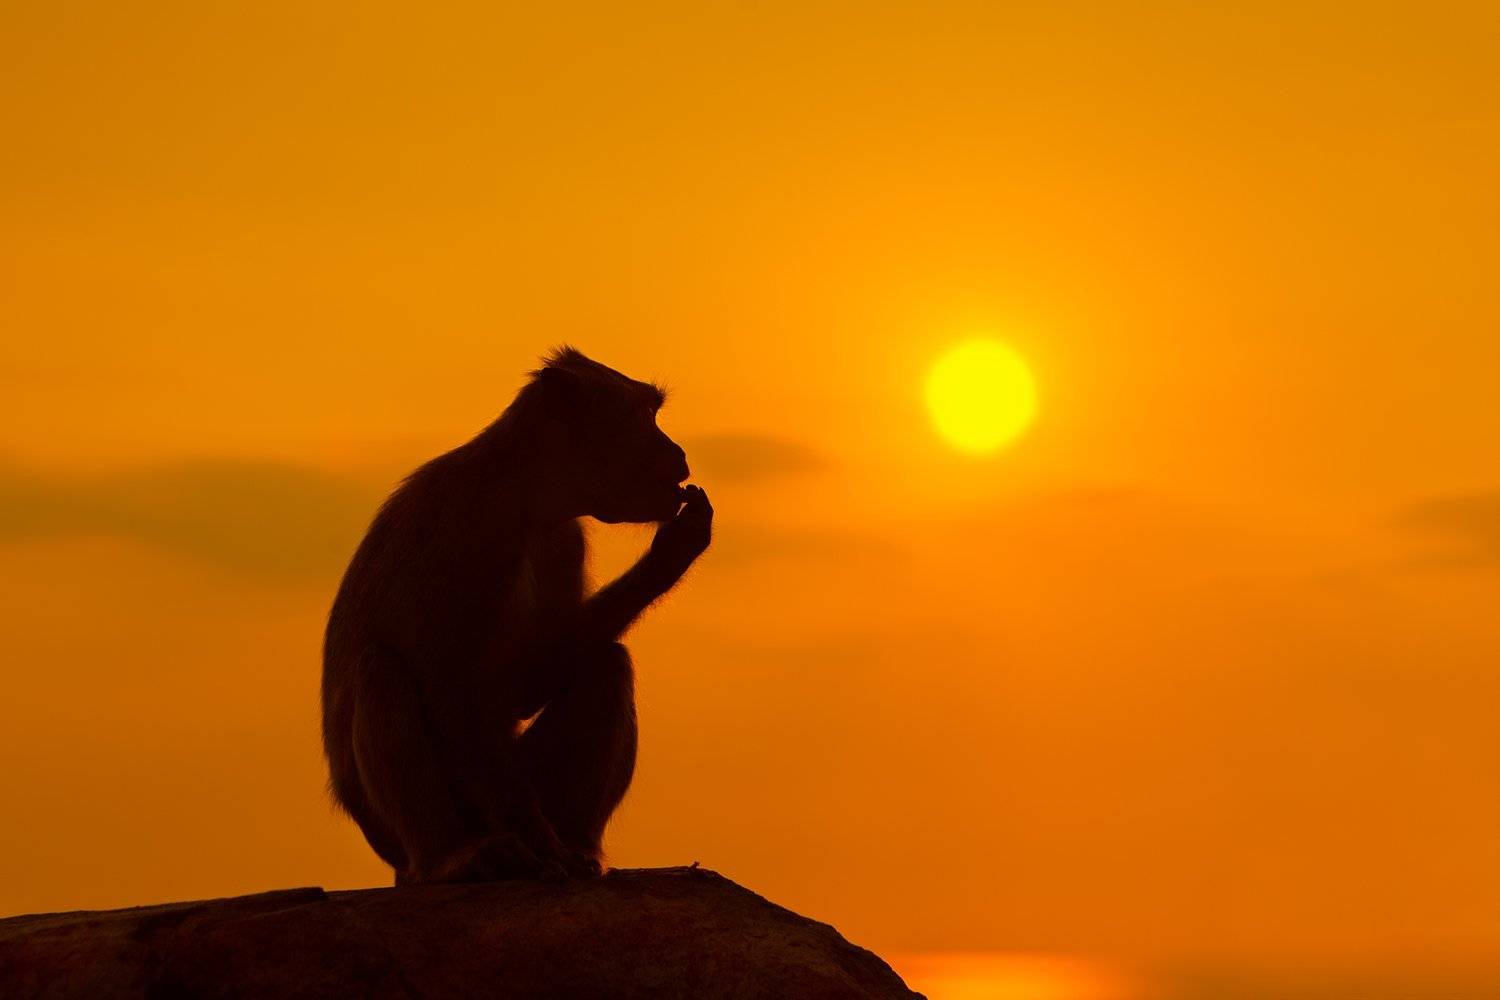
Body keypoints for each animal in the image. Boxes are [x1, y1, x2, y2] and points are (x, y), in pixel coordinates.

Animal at [321, 347, 712, 884]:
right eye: (646, 415)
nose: (679, 453)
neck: (526, 495)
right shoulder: (472, 533)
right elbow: (456, 697)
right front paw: (544, 850)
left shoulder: (565, 539)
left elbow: (524, 687)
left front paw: (674, 552)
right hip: (412, 827)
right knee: (379, 670)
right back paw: (453, 857)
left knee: (606, 664)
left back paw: (579, 845)